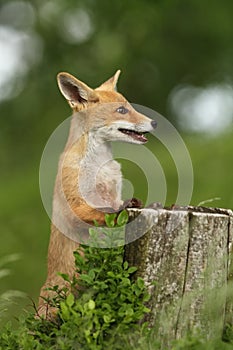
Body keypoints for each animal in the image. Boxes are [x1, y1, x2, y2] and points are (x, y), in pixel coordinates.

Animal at [38, 69, 157, 316]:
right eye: (122, 110)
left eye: (129, 106)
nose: (155, 122)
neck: (100, 166)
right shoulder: (75, 205)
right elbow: (104, 213)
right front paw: (121, 212)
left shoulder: (113, 192)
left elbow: (120, 205)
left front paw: (135, 204)